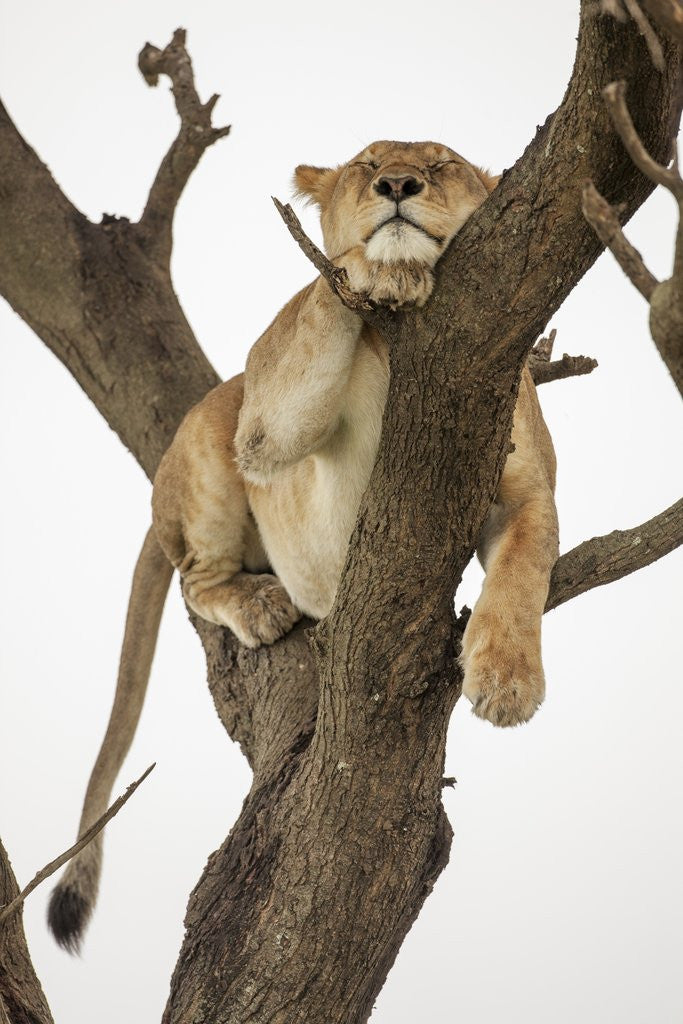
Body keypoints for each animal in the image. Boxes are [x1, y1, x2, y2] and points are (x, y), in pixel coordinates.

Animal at [48, 140, 559, 951]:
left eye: (440, 163)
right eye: (369, 163)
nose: (397, 185)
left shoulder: (527, 489)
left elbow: (523, 567)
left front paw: (508, 678)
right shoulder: (265, 425)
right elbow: (321, 302)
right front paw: (379, 268)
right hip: (210, 437)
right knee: (196, 578)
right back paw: (260, 604)